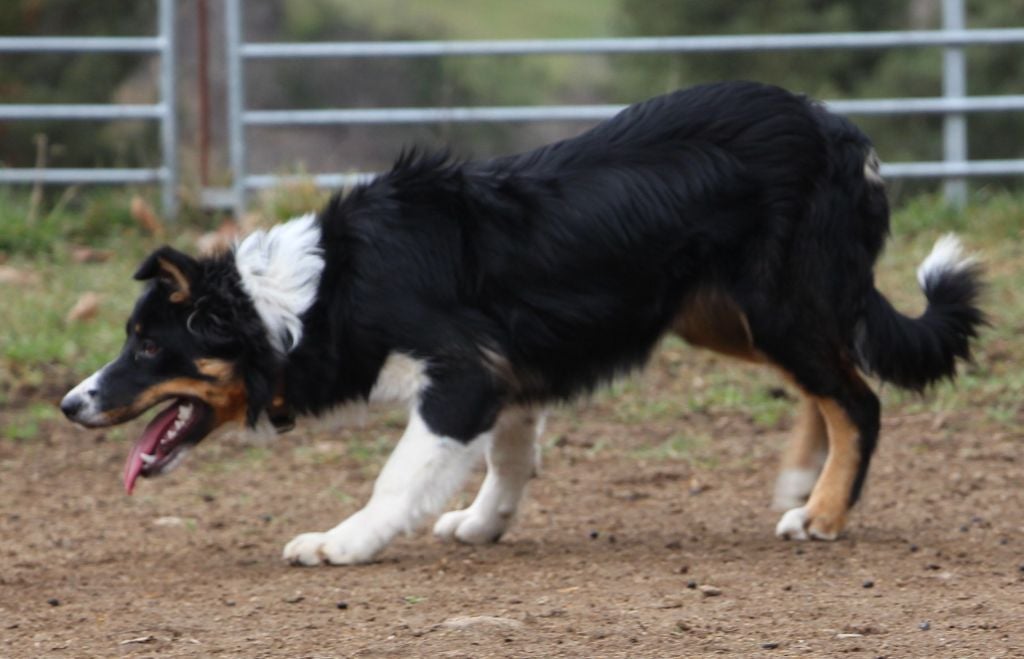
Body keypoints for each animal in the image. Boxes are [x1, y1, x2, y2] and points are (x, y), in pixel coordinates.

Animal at [58, 82, 983, 564]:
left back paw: (824, 512)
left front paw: (343, 541)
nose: (71, 403)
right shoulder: (508, 374)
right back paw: (802, 482)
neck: (314, 295)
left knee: (857, 398)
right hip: (724, 315)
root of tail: (840, 130)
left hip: (777, 306)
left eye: (147, 344)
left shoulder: (463, 378)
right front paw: (485, 522)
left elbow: (398, 476)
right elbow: (507, 460)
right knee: (831, 387)